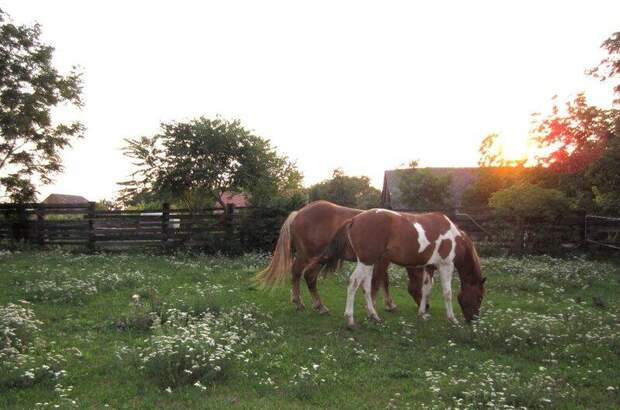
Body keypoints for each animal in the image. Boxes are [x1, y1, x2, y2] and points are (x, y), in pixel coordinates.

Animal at [256, 202, 432, 314]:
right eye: (423, 285)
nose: (427, 306)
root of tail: (298, 213)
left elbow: (382, 280)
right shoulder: (383, 260)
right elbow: (383, 281)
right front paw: (388, 305)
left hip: (304, 255)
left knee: (296, 273)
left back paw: (299, 302)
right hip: (312, 257)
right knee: (307, 276)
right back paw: (317, 306)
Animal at [310, 208, 484, 326]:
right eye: (479, 296)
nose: (473, 320)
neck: (456, 238)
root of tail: (354, 219)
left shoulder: (429, 267)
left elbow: (426, 290)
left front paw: (422, 314)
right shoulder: (446, 265)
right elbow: (447, 293)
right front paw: (452, 319)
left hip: (368, 262)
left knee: (365, 286)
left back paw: (374, 316)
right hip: (366, 261)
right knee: (354, 283)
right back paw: (350, 319)